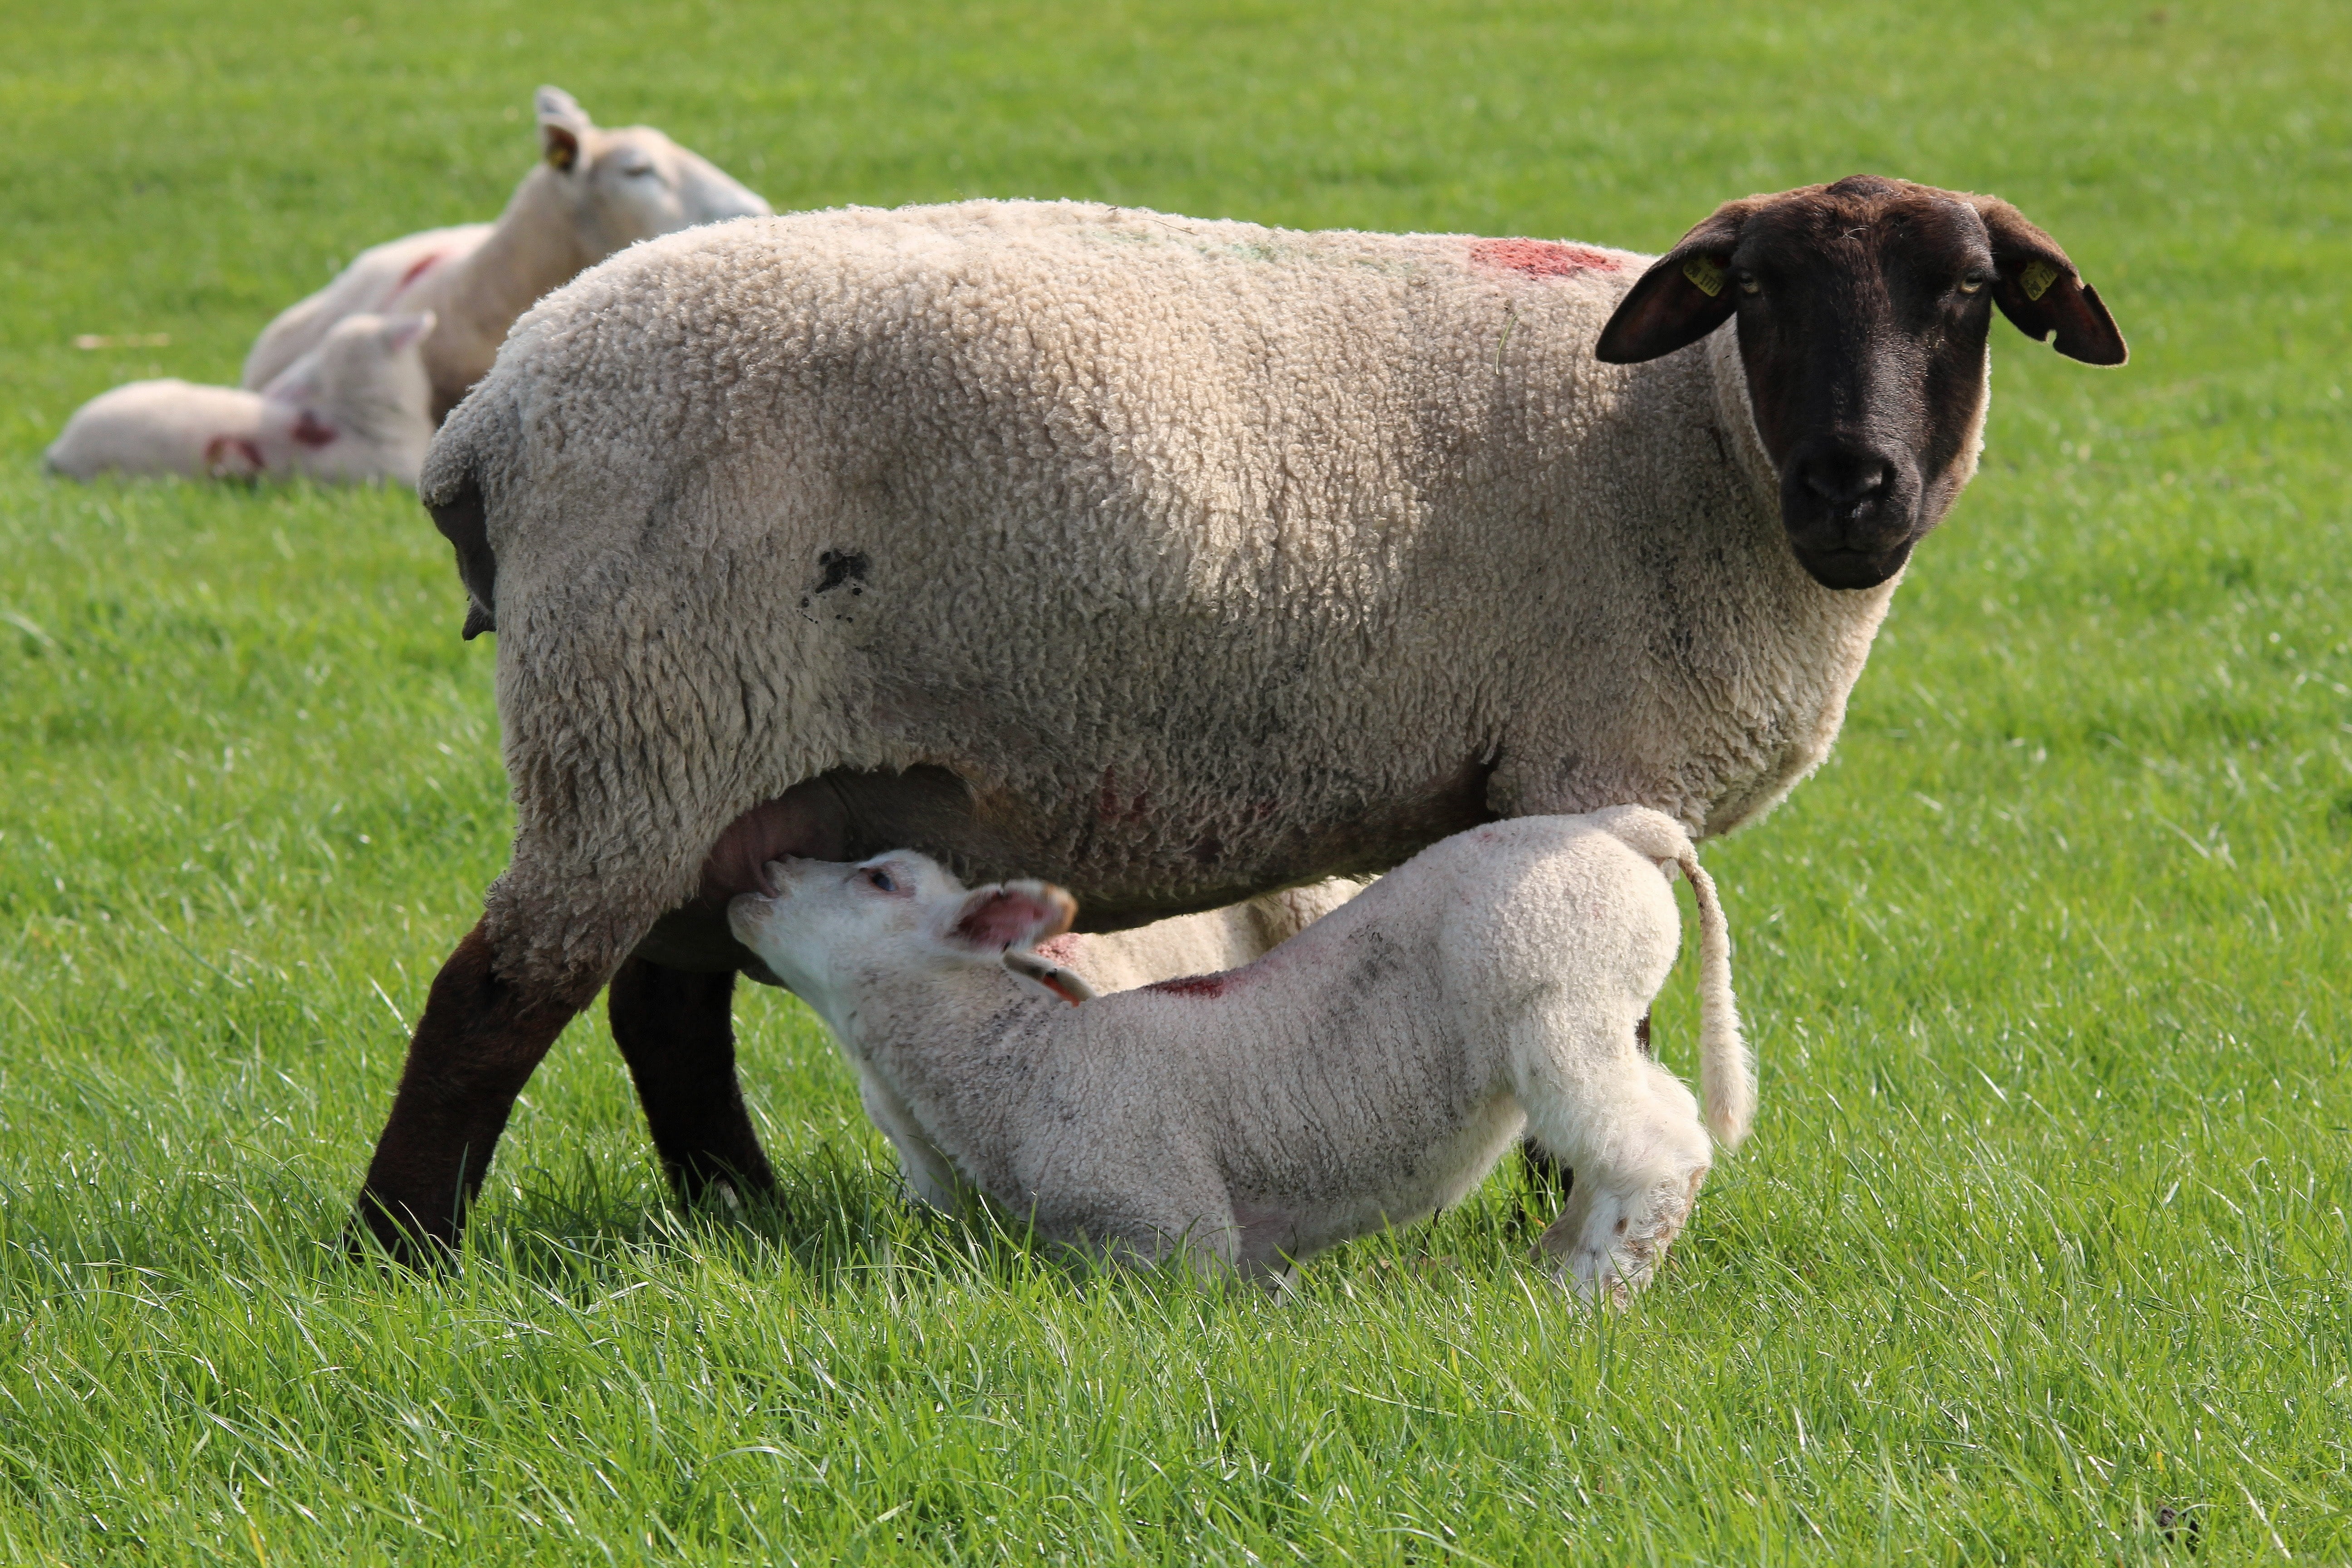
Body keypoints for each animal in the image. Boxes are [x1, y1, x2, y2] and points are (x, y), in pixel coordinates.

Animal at [725, 808, 1744, 1302]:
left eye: (879, 878)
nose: (757, 874)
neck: (1023, 1066)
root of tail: (1630, 828)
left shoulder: (1167, 1225)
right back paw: (1555, 1261)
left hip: (1560, 991)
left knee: (1659, 1147)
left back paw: (1592, 1291)